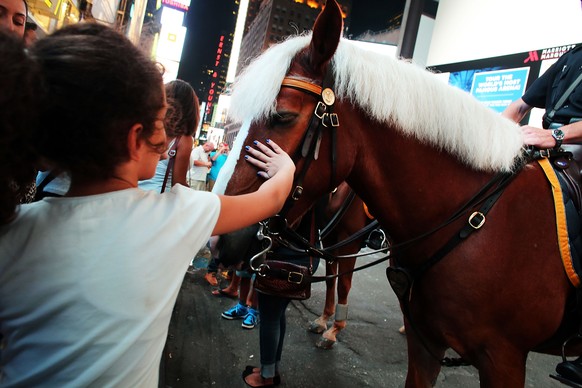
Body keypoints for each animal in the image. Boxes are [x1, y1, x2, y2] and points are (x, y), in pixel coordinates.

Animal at [221, 1, 580, 384]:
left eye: (283, 116)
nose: (224, 240)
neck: (481, 222)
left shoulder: (503, 359)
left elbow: (342, 284)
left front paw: (334, 329)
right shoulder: (424, 342)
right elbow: (333, 284)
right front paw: (324, 321)